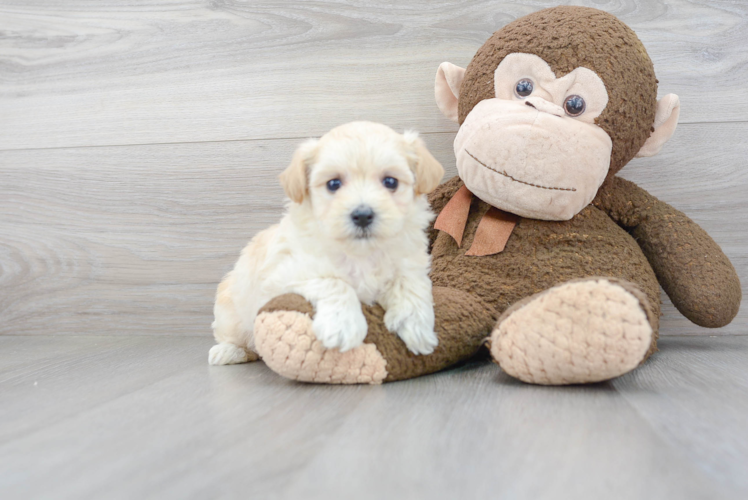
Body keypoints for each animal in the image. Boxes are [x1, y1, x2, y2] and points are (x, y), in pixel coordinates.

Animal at [207, 120, 444, 364]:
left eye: (390, 182)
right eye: (333, 184)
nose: (362, 215)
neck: (360, 254)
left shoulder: (409, 265)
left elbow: (410, 286)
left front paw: (417, 328)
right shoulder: (285, 275)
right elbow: (334, 282)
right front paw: (343, 326)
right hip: (230, 313)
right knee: (236, 337)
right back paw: (228, 351)